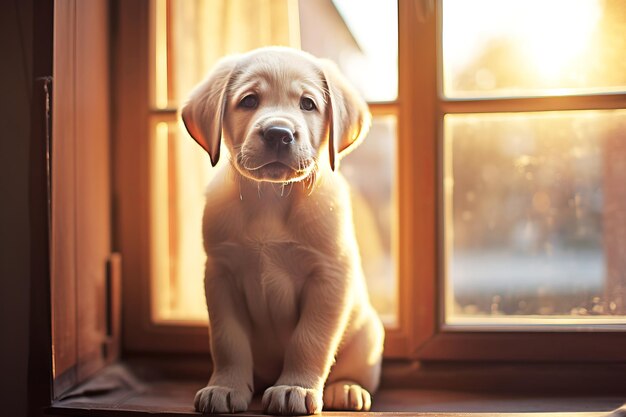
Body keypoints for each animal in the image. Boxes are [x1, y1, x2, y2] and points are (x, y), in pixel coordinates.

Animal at [180, 47, 382, 414]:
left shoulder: (328, 276)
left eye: (307, 104)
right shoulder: (221, 276)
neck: (271, 199)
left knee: (354, 367)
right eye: (248, 100)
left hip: (369, 333)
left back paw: (347, 388)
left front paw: (295, 388)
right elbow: (228, 341)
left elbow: (309, 340)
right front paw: (225, 387)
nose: (278, 133)